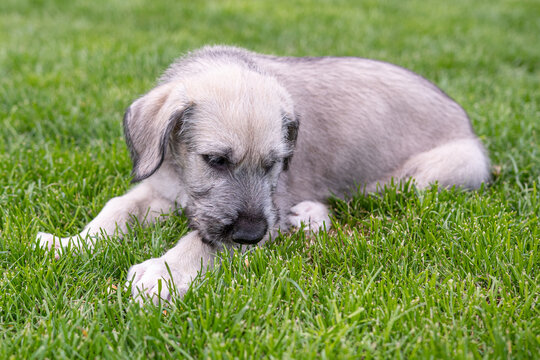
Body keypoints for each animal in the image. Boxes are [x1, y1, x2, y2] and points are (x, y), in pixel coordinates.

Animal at [38, 45, 492, 304]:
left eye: (274, 163)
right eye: (215, 161)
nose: (252, 235)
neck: (183, 179)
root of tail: (470, 128)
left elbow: (203, 243)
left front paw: (163, 276)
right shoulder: (158, 188)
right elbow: (117, 209)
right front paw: (72, 243)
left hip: (423, 176)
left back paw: (310, 216)